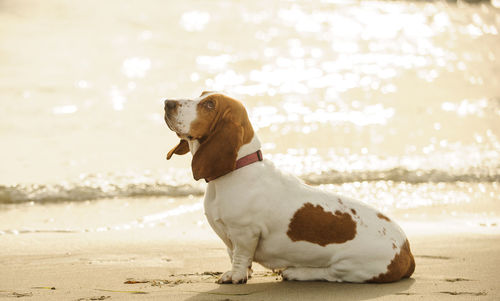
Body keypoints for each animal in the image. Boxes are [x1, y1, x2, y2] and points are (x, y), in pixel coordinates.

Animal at [163, 91, 414, 284]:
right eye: (202, 94)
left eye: (209, 104)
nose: (167, 103)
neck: (236, 169)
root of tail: (407, 252)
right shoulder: (231, 238)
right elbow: (232, 253)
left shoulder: (245, 233)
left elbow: (240, 257)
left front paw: (235, 276)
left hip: (351, 265)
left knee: (331, 274)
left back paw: (296, 272)